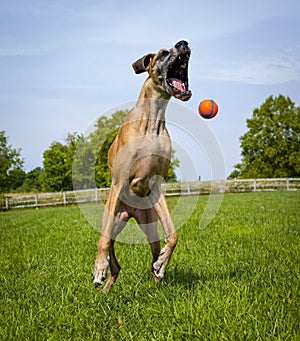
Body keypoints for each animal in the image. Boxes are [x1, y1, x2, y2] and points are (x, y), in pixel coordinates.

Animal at [94, 39, 192, 290]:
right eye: (163, 53)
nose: (183, 43)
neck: (152, 121)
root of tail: (131, 212)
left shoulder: (156, 185)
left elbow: (173, 234)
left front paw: (162, 265)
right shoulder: (119, 181)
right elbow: (103, 241)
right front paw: (98, 268)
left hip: (149, 224)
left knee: (152, 252)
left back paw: (158, 275)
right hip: (113, 217)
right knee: (109, 246)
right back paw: (105, 281)